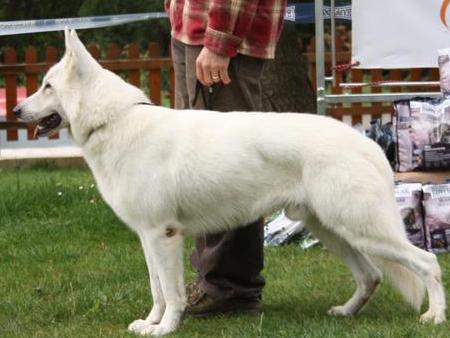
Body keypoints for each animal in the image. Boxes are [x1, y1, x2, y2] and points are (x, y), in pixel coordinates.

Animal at [14, 29, 446, 336]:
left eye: (47, 86)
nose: (16, 110)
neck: (114, 120)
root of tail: (368, 143)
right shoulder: (147, 237)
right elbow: (156, 288)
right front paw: (150, 323)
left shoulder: (163, 235)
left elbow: (170, 291)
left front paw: (165, 329)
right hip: (332, 229)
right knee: (371, 275)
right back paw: (345, 312)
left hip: (360, 227)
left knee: (427, 262)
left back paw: (435, 317)